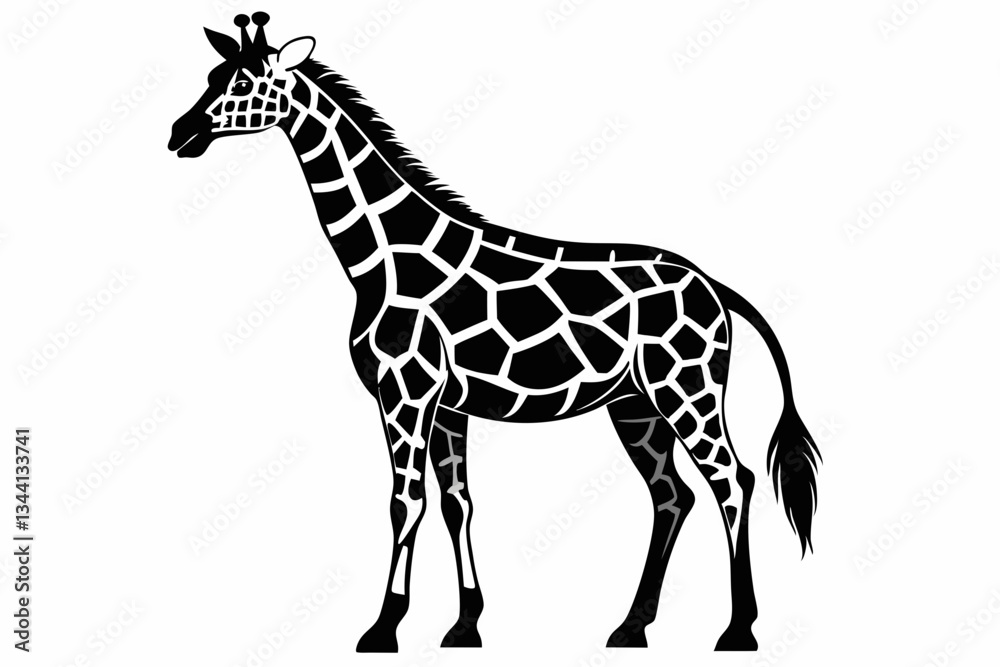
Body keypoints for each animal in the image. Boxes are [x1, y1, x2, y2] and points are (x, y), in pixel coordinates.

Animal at [169, 14, 821, 654]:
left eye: (244, 83)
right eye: (212, 75)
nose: (180, 134)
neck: (382, 261)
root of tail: (714, 285)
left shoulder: (405, 392)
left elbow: (406, 502)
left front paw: (383, 629)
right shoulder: (446, 406)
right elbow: (457, 504)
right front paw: (464, 626)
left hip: (688, 389)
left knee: (731, 480)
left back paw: (737, 631)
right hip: (634, 404)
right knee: (672, 494)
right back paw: (631, 627)